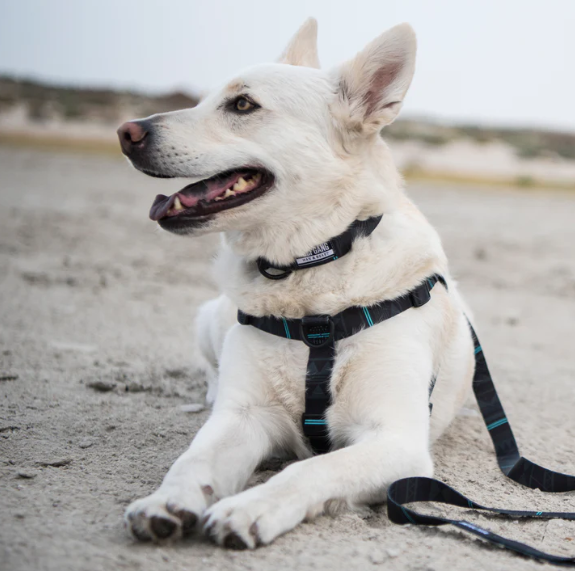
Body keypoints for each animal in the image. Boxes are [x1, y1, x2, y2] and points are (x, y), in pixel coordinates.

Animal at [118, 19, 476, 548]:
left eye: (243, 105)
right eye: (203, 100)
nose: (125, 132)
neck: (311, 276)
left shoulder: (396, 442)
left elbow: (308, 470)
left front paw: (247, 509)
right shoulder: (245, 417)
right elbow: (193, 460)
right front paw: (166, 501)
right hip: (209, 319)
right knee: (212, 371)